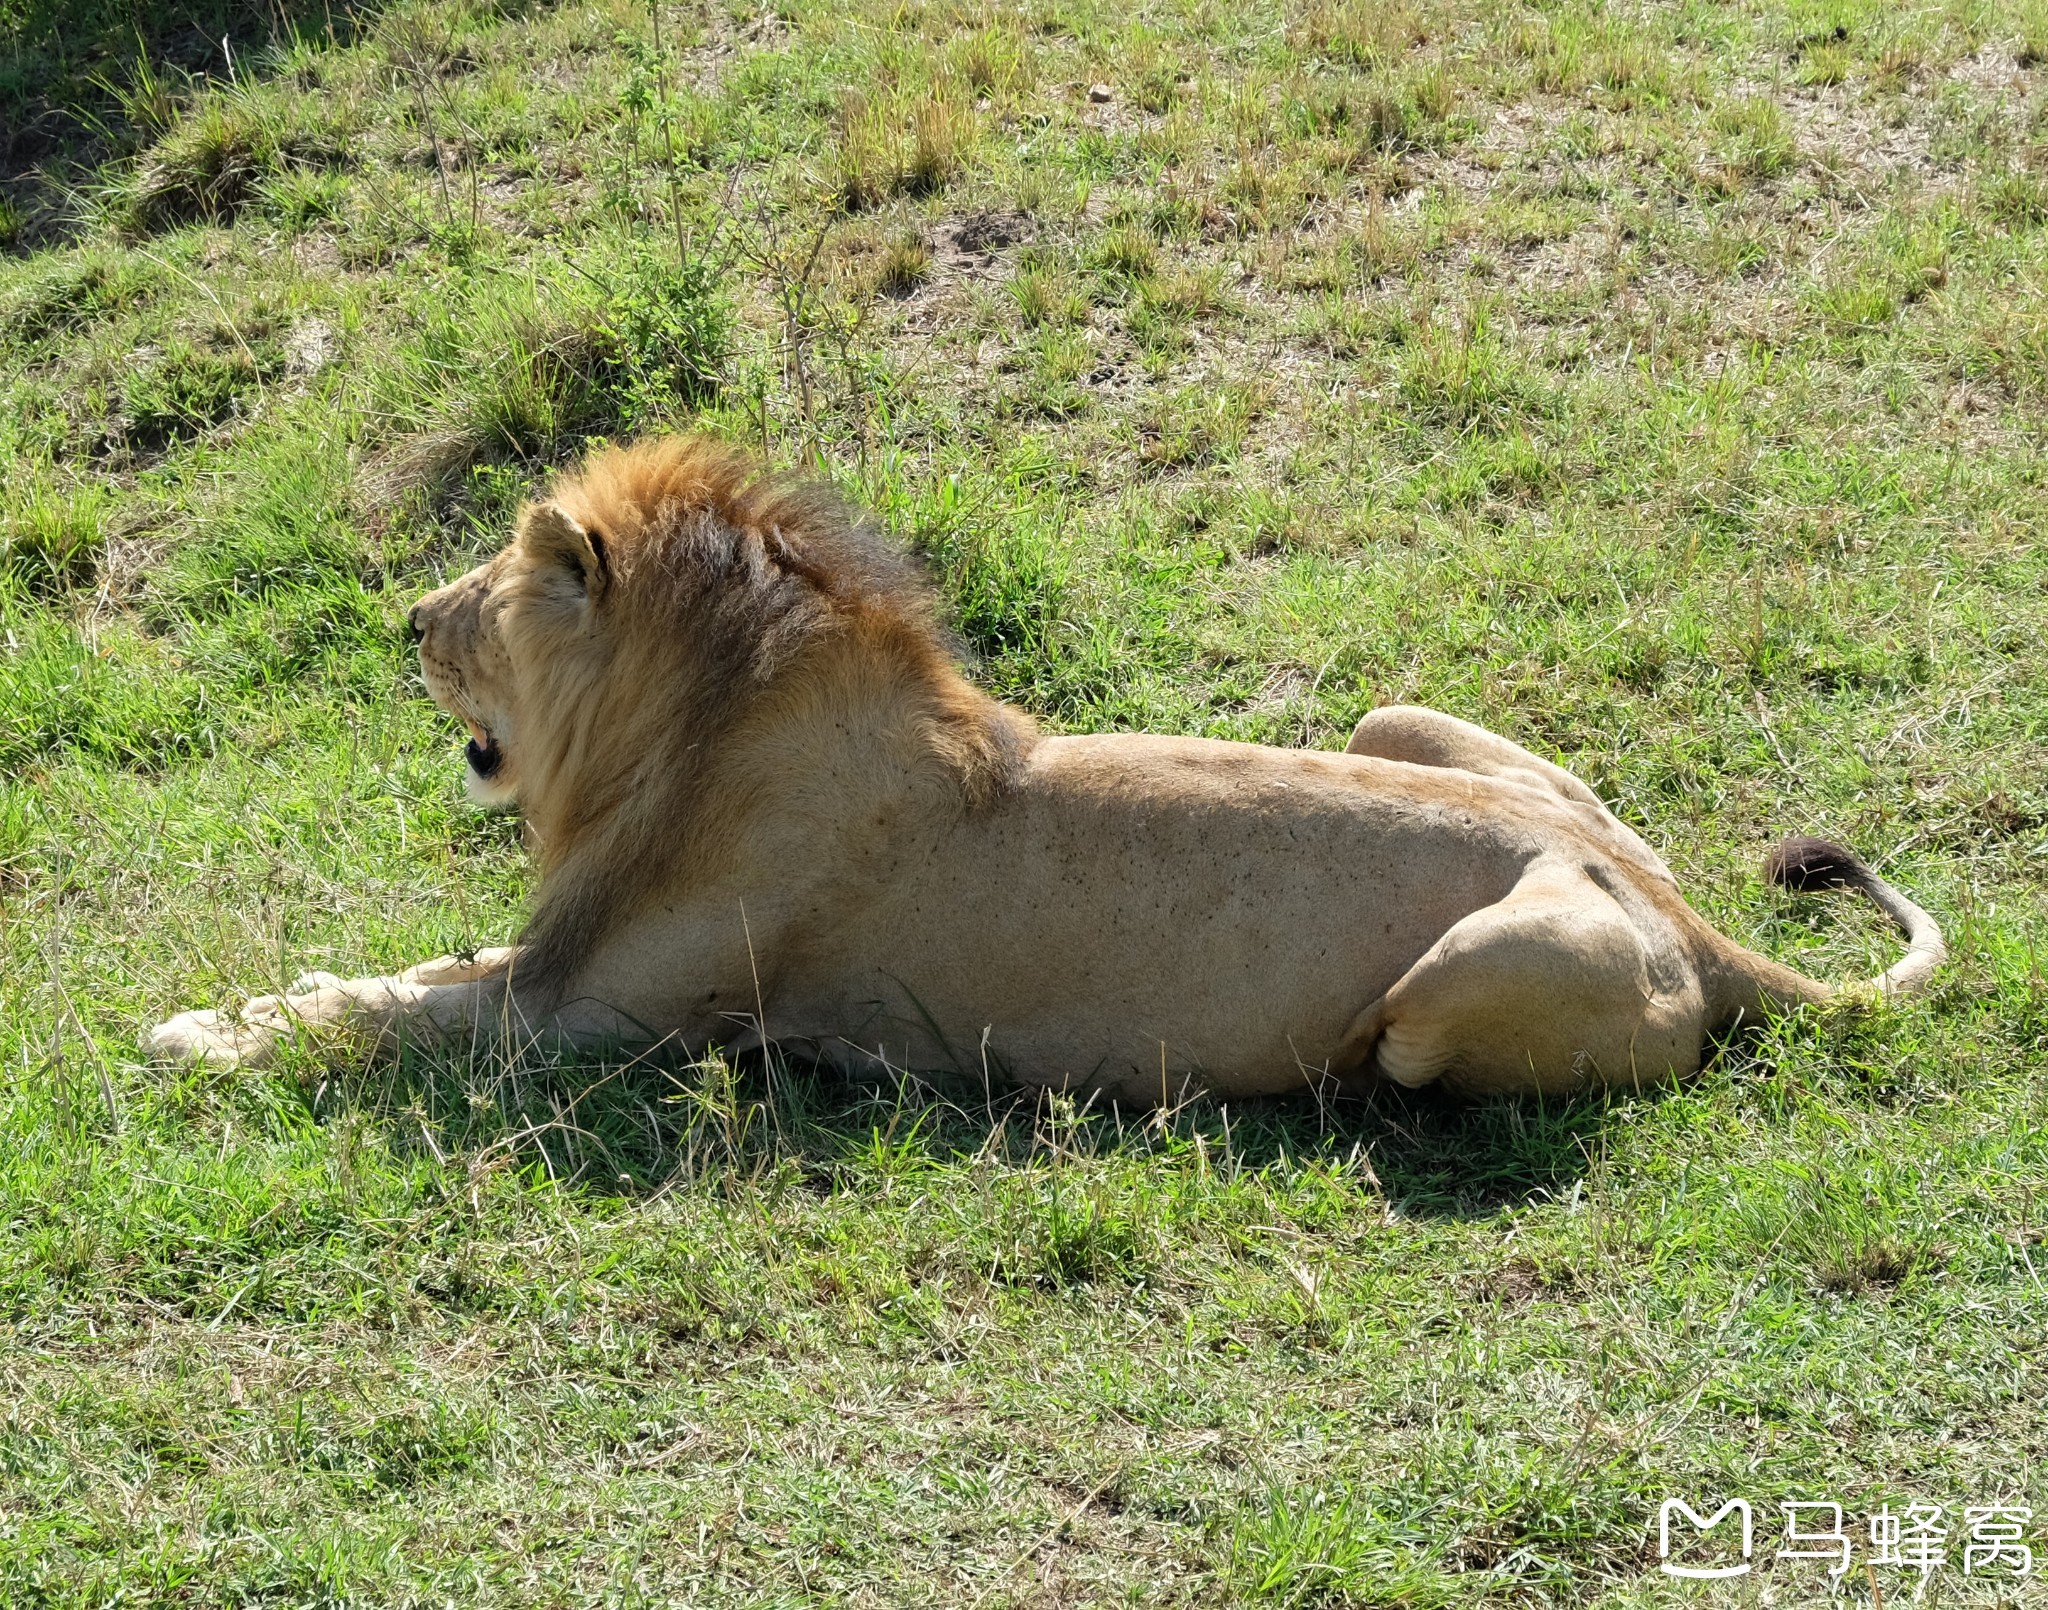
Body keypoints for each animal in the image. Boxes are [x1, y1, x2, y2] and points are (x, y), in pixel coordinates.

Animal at [148, 432, 1949, 1097]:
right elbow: (404, 972)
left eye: (479, 596)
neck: (687, 734)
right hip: (1401, 719)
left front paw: (198, 1034)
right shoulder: (562, 960)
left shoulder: (608, 1022)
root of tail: (1683, 911)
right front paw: (257, 997)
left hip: (1449, 989)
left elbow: (393, 1016)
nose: (403, 618)